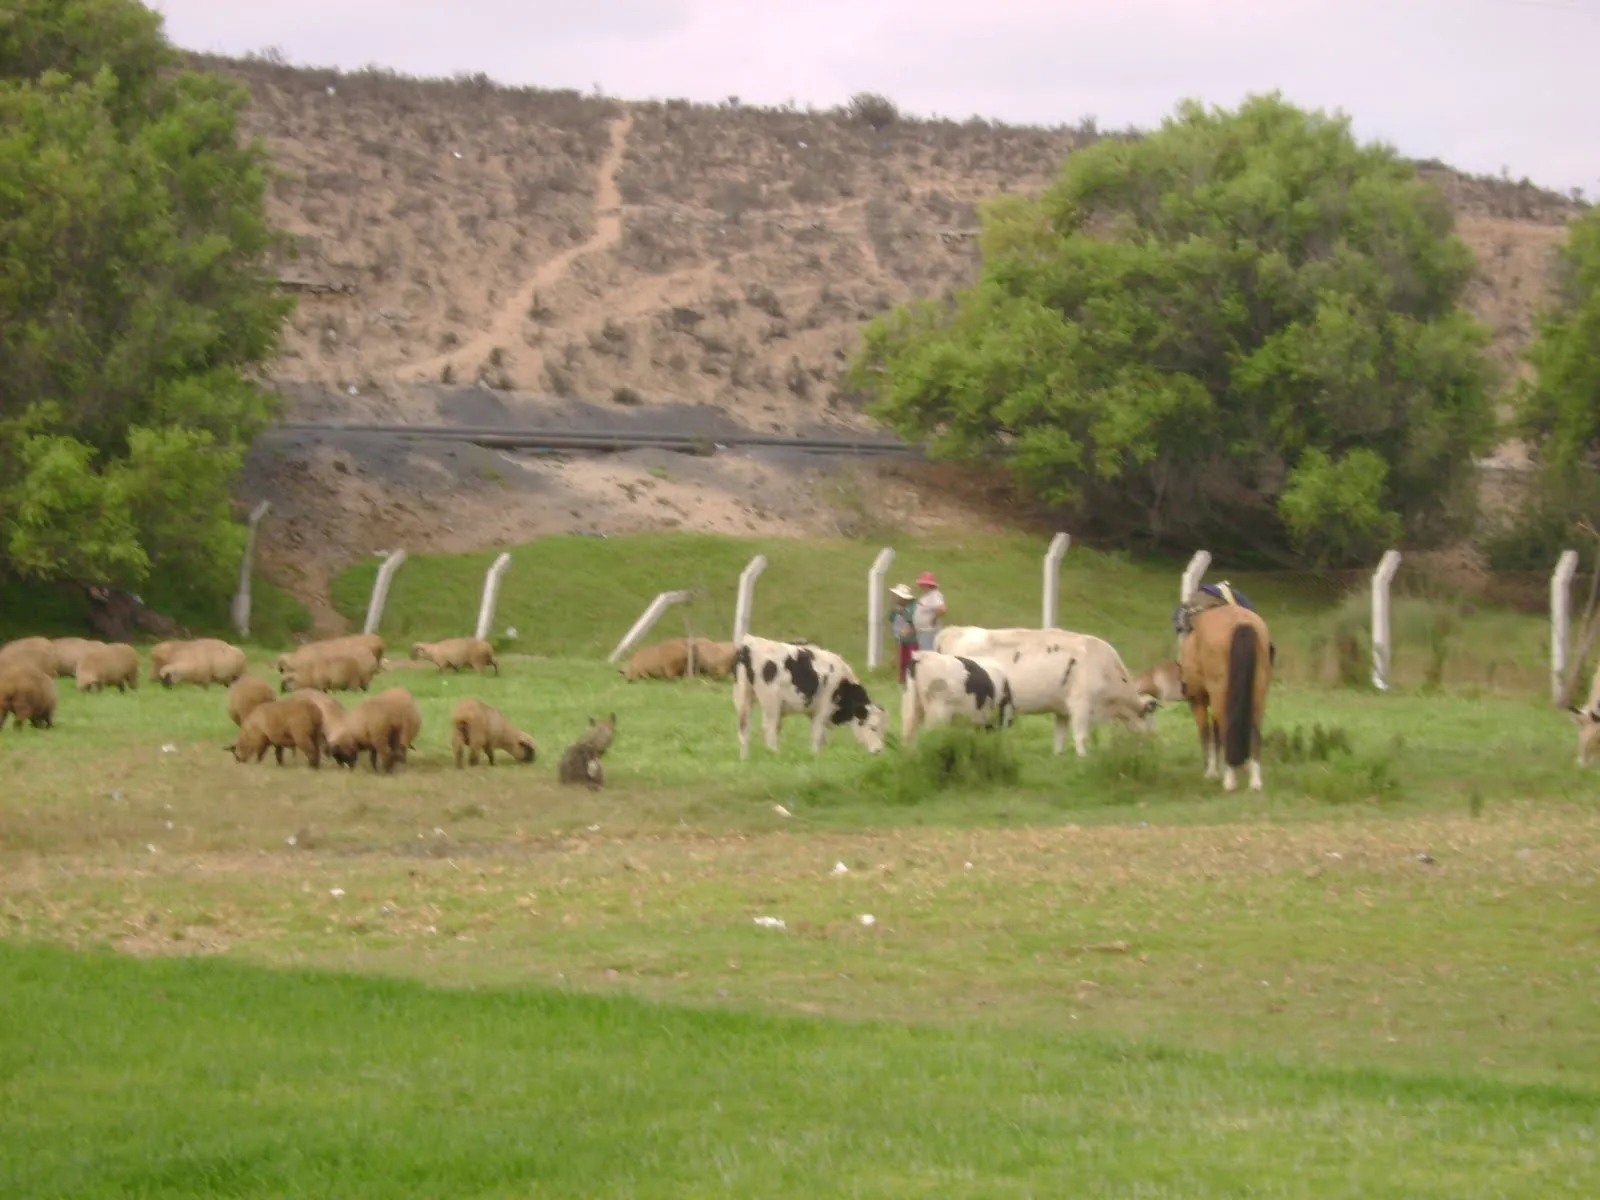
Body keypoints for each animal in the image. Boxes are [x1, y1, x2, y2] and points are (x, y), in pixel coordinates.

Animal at [732, 640, 889, 761]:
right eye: (873, 727)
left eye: (883, 729)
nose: (879, 750)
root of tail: (749, 644)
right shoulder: (823, 710)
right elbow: (817, 736)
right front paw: (815, 755)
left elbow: (822, 739)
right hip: (771, 704)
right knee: (769, 728)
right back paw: (774, 754)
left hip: (743, 699)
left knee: (743, 729)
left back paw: (744, 759)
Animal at [934, 624, 1164, 755]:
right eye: (1152, 721)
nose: (1155, 744)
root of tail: (954, 631)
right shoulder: (1081, 703)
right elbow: (1080, 735)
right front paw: (1084, 759)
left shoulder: (1062, 710)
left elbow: (1060, 737)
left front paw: (1059, 757)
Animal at [1184, 598, 1280, 790]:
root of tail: (1241, 623)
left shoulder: (1197, 699)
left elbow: (1206, 732)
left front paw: (1210, 771)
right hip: (1257, 693)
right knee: (1255, 731)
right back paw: (1255, 781)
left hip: (1219, 693)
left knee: (1225, 729)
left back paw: (1230, 779)